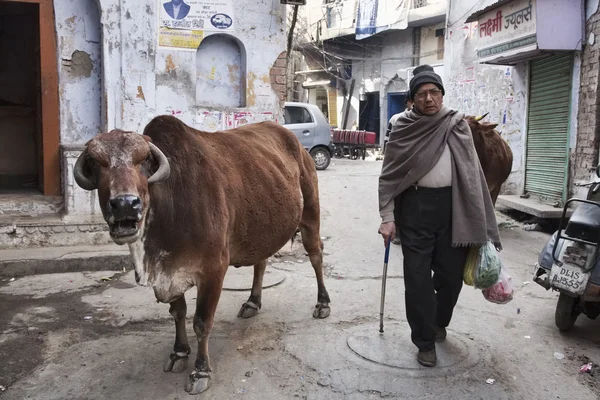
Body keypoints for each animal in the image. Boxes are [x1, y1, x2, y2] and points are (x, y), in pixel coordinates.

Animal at [74, 115, 332, 394]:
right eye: (95, 162)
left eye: (143, 160)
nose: (125, 204)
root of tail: (293, 140)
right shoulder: (170, 273)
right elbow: (178, 313)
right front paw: (179, 352)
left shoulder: (213, 270)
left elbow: (201, 322)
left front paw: (200, 371)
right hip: (262, 228)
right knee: (261, 263)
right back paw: (253, 302)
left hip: (310, 215)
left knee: (316, 256)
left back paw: (323, 303)